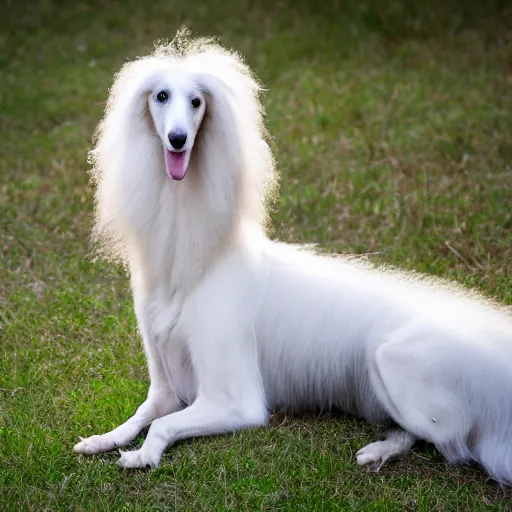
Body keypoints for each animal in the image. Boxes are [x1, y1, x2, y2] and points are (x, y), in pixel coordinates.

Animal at [73, 32, 512, 484]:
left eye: (197, 102)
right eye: (161, 96)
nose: (178, 139)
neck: (194, 266)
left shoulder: (235, 400)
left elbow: (161, 425)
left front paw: (142, 456)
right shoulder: (164, 385)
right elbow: (141, 415)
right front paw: (103, 440)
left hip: (391, 363)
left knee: (441, 440)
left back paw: (378, 451)